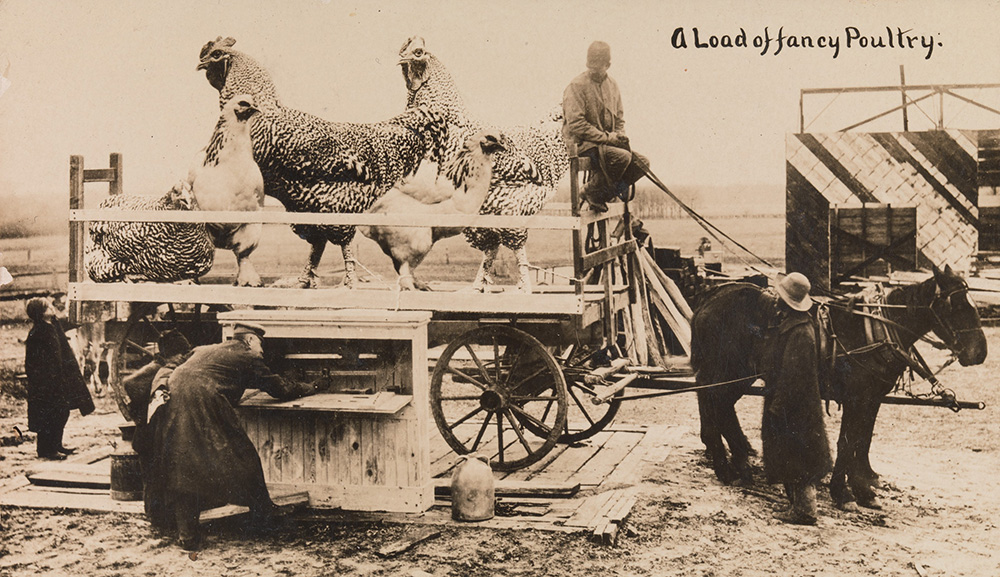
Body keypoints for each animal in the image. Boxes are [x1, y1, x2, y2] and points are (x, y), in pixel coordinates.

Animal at [692, 264, 988, 508]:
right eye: (957, 307)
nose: (980, 353)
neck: (872, 332)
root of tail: (711, 296)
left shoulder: (872, 399)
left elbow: (862, 439)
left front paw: (863, 487)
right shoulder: (857, 398)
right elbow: (848, 442)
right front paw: (845, 492)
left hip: (738, 375)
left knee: (720, 406)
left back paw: (738, 462)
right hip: (728, 371)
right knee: (715, 403)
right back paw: (727, 466)